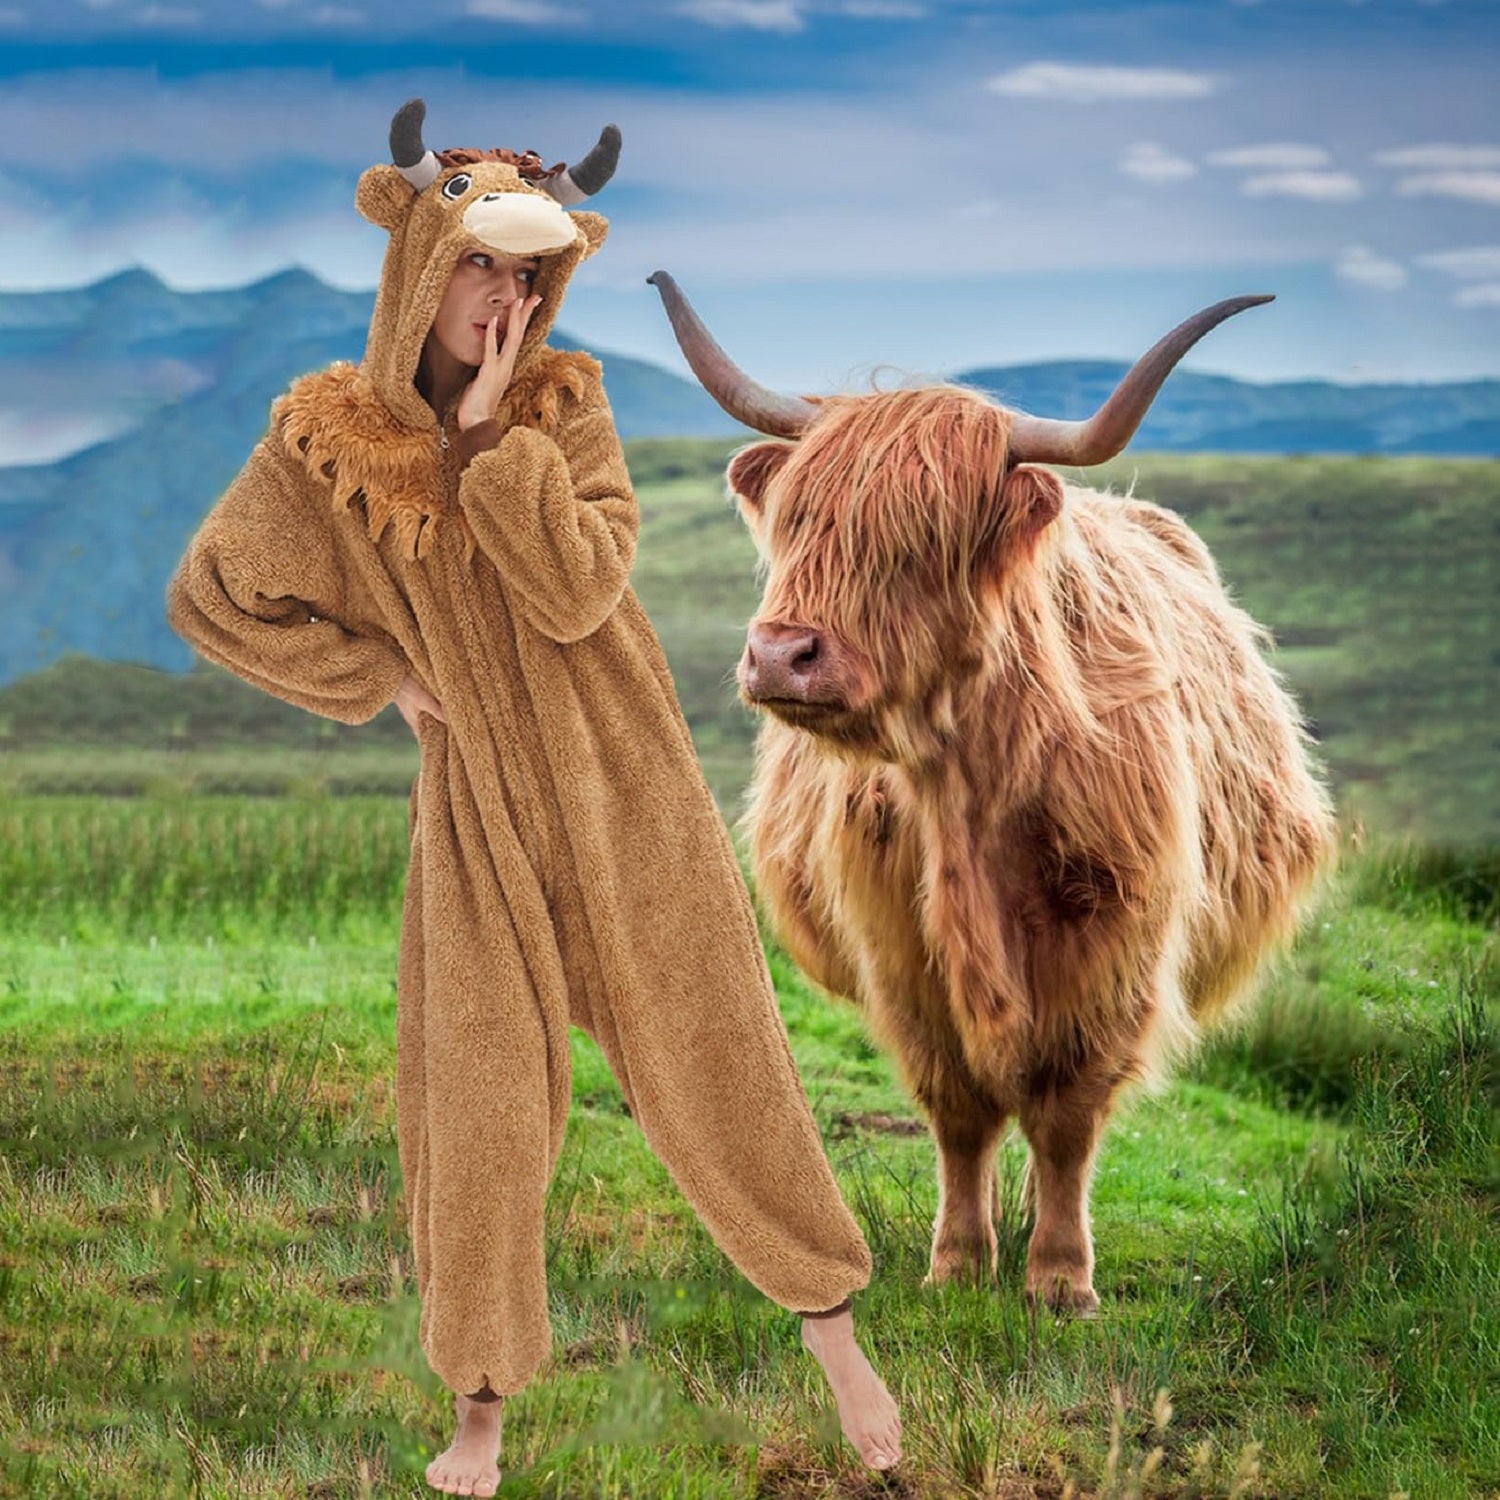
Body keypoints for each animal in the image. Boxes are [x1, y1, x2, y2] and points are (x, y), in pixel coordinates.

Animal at [646, 271, 1339, 1313]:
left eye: (924, 535)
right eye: (797, 520)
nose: (780, 654)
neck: (967, 793)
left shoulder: (1114, 946)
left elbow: (1066, 1115)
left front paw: (1060, 1280)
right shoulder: (900, 950)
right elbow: (961, 1112)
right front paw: (960, 1264)